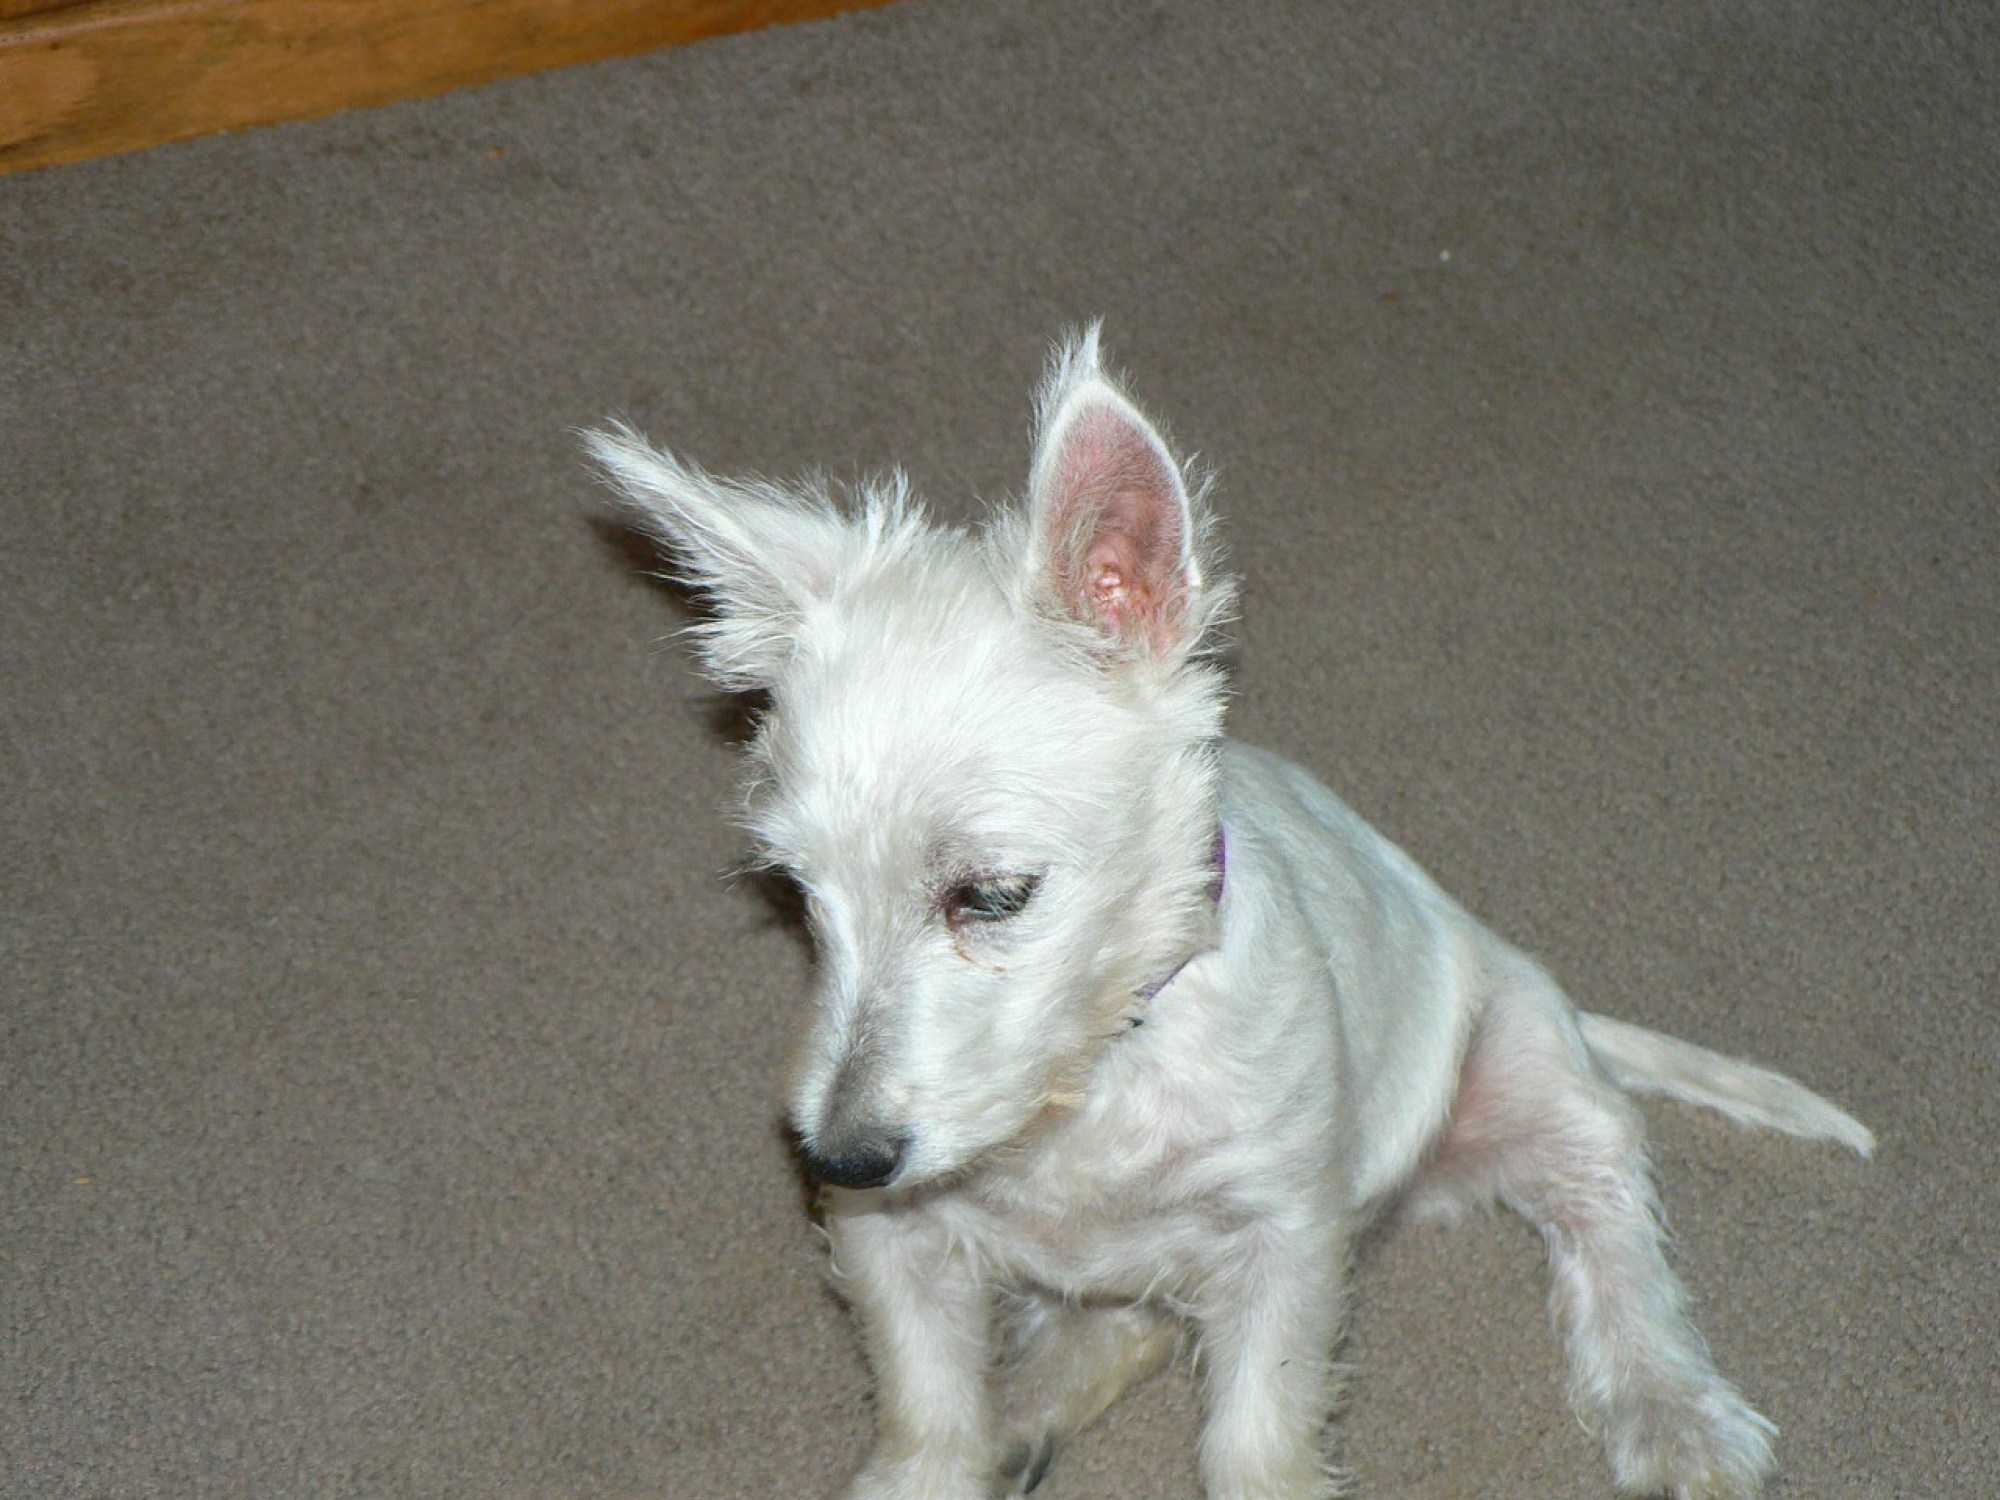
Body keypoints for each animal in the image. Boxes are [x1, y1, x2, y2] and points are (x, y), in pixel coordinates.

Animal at [585, 327, 1872, 1500]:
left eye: (990, 894)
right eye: (800, 894)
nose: (838, 1156)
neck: (1097, 1063)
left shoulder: (1281, 1241)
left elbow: (1255, 1438)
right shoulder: (891, 1242)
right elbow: (928, 1422)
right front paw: (956, 1452)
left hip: (1527, 1067)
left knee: (1606, 1217)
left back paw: (1676, 1415)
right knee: (1127, 1319)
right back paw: (1030, 1412)